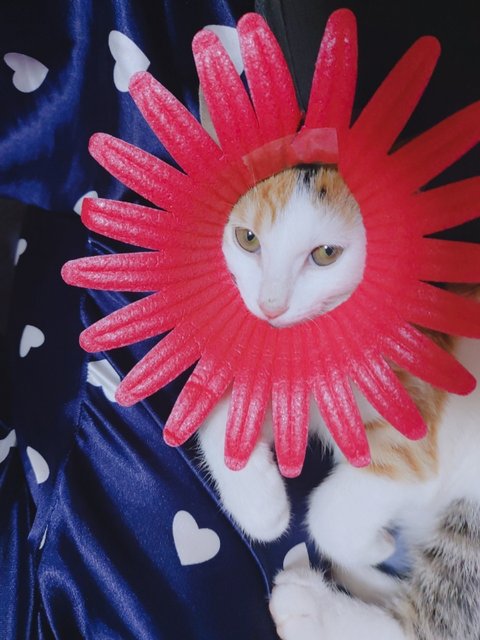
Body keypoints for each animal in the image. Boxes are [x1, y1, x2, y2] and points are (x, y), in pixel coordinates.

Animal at [197, 165, 480, 639]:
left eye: (326, 254)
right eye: (248, 239)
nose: (271, 305)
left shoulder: (416, 418)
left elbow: (338, 509)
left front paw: (367, 545)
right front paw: (258, 503)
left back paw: (311, 607)